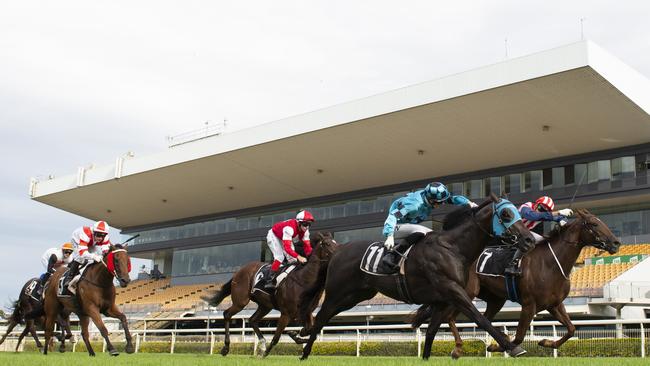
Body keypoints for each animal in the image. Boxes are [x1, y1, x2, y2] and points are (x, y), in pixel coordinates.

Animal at [204, 232, 340, 358]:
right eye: (327, 244)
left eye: (336, 242)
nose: (339, 254)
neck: (304, 280)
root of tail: (239, 271)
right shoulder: (286, 314)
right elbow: (276, 338)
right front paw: (266, 353)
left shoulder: (307, 312)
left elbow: (310, 330)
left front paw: (296, 335)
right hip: (241, 301)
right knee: (227, 314)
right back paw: (226, 348)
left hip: (265, 306)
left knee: (252, 320)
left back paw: (262, 343)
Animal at [298, 194, 532, 360]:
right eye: (506, 214)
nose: (529, 239)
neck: (453, 248)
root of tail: (338, 251)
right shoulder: (453, 291)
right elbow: (480, 318)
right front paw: (512, 347)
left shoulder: (441, 300)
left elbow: (431, 332)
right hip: (337, 294)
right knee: (320, 318)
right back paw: (304, 353)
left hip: (355, 296)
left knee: (323, 318)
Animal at [442, 209, 620, 358]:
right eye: (594, 224)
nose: (616, 243)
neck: (551, 264)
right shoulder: (529, 305)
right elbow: (519, 337)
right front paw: (506, 347)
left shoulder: (554, 304)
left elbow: (571, 329)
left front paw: (546, 342)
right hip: (468, 292)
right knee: (451, 317)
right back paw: (457, 348)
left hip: (495, 299)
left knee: (483, 319)